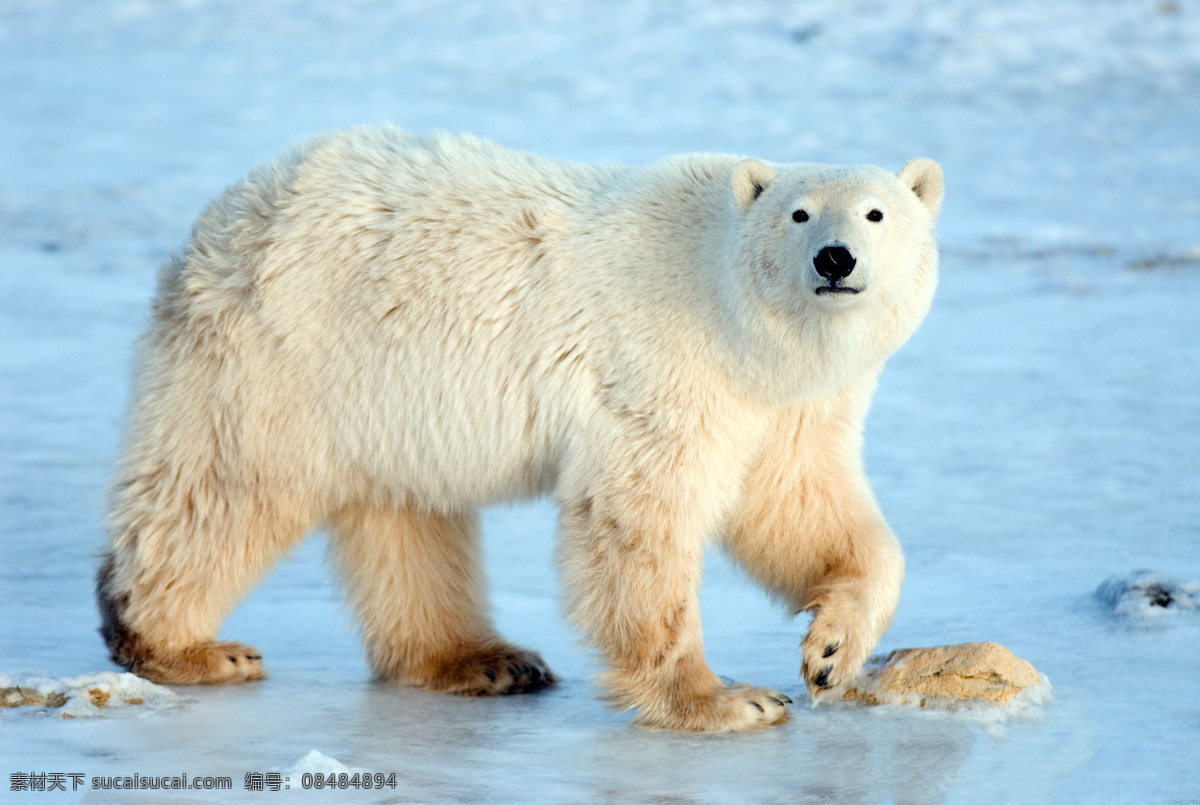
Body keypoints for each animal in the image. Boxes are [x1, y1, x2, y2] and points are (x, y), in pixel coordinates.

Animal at [96, 124, 936, 729]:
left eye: (876, 211)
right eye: (799, 212)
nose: (834, 259)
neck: (743, 327)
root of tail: (231, 213)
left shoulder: (788, 405)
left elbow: (798, 506)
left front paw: (832, 648)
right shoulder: (665, 363)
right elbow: (640, 518)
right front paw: (726, 699)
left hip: (385, 399)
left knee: (405, 518)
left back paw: (485, 659)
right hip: (281, 360)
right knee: (222, 491)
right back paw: (182, 644)